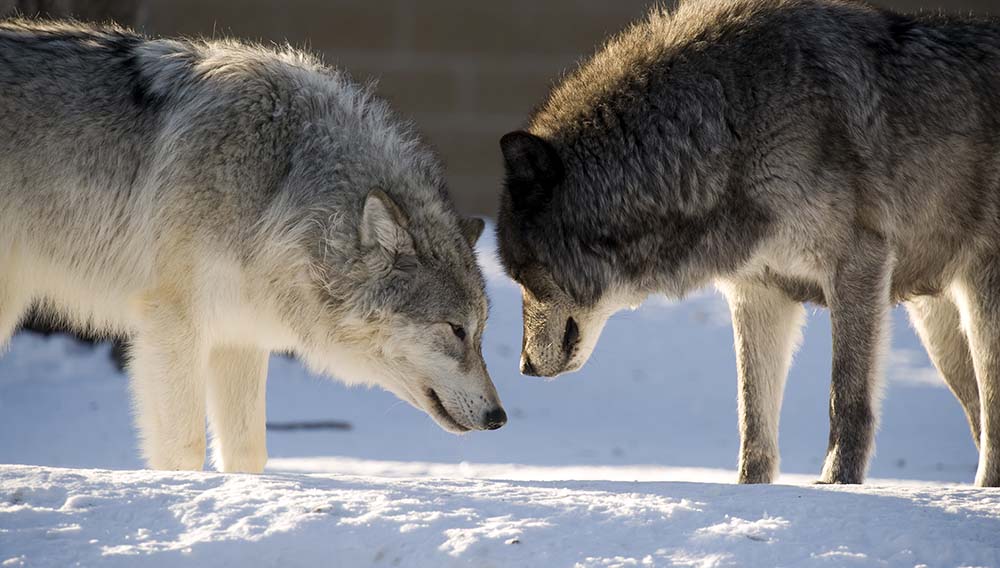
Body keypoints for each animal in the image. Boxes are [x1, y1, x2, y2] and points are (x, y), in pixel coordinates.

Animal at [0, 20, 508, 472]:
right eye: (455, 330)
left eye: (479, 333)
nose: (499, 417)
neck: (278, 185)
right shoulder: (173, 326)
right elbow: (185, 451)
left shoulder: (238, 335)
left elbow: (248, 455)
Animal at [496, 1, 1000, 488]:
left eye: (521, 274)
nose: (522, 366)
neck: (730, 127)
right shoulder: (757, 292)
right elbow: (752, 419)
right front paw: (750, 492)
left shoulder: (857, 266)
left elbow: (846, 398)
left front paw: (837, 487)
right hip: (938, 331)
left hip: (979, 309)